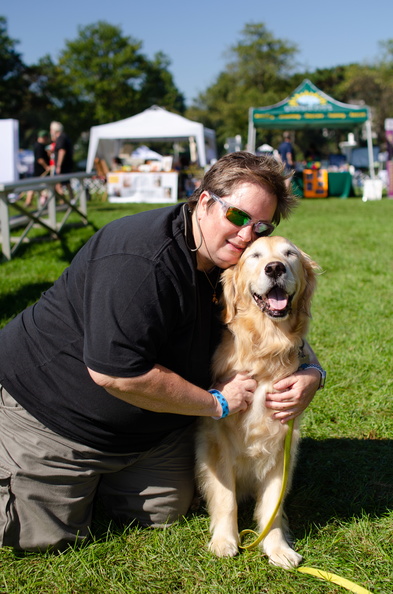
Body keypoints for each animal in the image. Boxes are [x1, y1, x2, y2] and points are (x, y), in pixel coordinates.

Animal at [194, 234, 316, 568]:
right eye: (254, 255)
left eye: (289, 254)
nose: (275, 268)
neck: (267, 346)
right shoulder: (218, 441)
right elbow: (226, 499)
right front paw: (225, 540)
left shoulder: (282, 440)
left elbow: (273, 504)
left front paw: (277, 547)